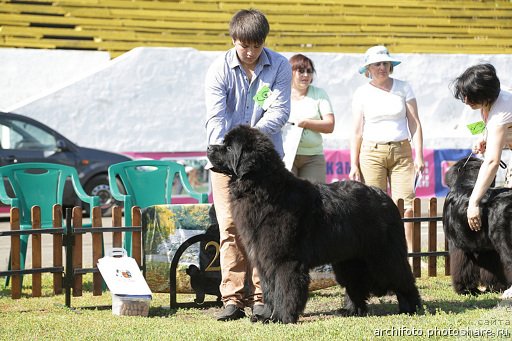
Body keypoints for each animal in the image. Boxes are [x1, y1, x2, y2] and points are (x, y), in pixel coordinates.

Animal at [206, 124, 422, 322]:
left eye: (228, 147)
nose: (208, 147)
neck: (264, 190)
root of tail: (385, 197)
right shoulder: (264, 258)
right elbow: (269, 290)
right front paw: (265, 316)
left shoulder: (285, 259)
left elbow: (283, 289)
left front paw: (281, 317)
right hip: (349, 258)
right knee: (355, 284)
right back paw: (351, 310)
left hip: (382, 255)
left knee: (403, 278)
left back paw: (411, 307)